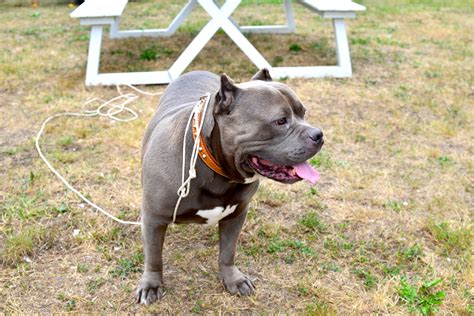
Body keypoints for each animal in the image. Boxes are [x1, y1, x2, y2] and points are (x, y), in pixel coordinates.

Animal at [136, 68, 322, 304]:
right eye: (280, 121)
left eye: (304, 113)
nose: (319, 134)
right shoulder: (154, 219)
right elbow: (153, 256)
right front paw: (151, 285)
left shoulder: (236, 216)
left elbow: (227, 252)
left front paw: (233, 279)